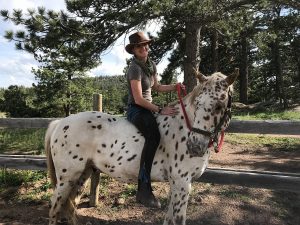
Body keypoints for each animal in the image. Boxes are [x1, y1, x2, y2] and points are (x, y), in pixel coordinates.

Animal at [45, 68, 239, 225]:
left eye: (219, 105)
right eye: (197, 103)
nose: (195, 146)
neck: (183, 127)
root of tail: (60, 123)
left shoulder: (176, 185)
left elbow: (169, 218)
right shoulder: (182, 183)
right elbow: (178, 219)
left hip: (83, 174)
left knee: (70, 206)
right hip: (67, 177)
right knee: (54, 208)